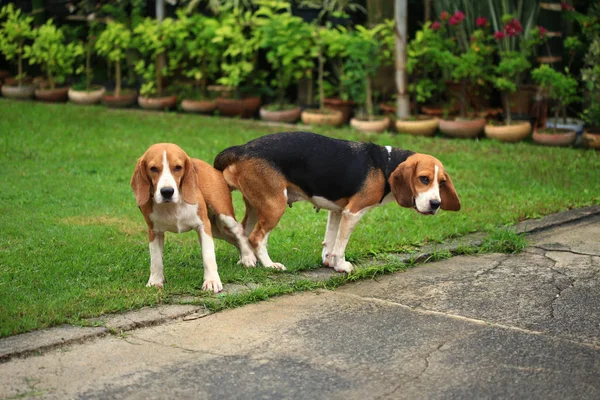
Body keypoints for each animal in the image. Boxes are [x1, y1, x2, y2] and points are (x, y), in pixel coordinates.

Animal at [132, 142, 256, 292]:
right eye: (153, 169)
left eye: (178, 167)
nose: (167, 192)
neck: (173, 206)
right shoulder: (154, 231)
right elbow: (156, 259)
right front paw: (155, 281)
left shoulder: (203, 226)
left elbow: (208, 256)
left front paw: (212, 281)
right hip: (217, 230)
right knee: (234, 238)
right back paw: (245, 256)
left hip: (223, 215)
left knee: (239, 232)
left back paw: (248, 257)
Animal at [213, 133, 462, 274]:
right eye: (423, 179)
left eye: (441, 182)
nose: (435, 204)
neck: (386, 165)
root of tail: (242, 148)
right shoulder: (353, 212)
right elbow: (341, 243)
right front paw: (342, 266)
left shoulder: (337, 211)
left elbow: (331, 241)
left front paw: (330, 263)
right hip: (275, 205)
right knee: (256, 237)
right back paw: (269, 265)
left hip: (257, 205)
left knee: (243, 232)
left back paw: (246, 260)